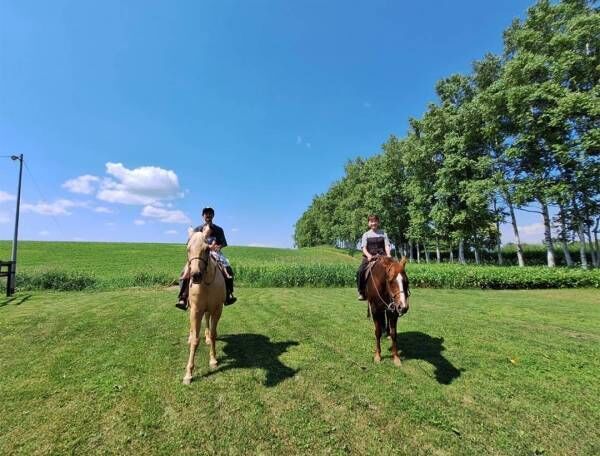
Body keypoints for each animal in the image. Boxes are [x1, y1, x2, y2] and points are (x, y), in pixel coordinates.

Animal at [182, 230, 226, 382]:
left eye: (207, 249)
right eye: (188, 248)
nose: (195, 275)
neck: (205, 283)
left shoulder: (217, 310)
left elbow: (213, 335)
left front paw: (213, 360)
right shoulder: (196, 310)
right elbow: (195, 340)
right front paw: (188, 374)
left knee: (207, 321)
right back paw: (190, 337)